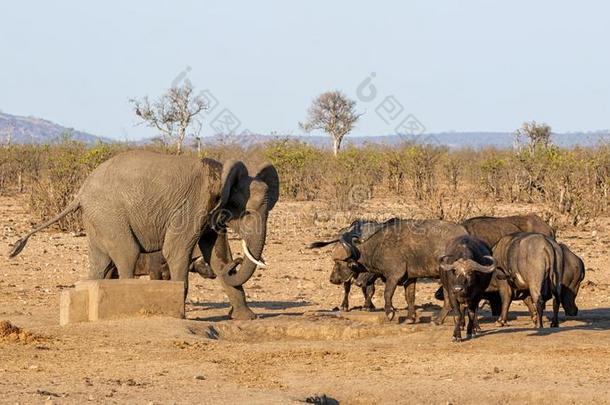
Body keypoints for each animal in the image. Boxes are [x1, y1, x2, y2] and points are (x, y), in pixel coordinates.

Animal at [10, 151, 278, 318]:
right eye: (247, 213)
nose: (240, 261)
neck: (221, 173)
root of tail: (81, 192)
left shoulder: (213, 212)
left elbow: (217, 254)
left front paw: (247, 318)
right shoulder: (193, 205)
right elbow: (175, 250)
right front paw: (180, 315)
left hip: (97, 219)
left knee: (101, 262)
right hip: (110, 214)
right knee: (127, 253)